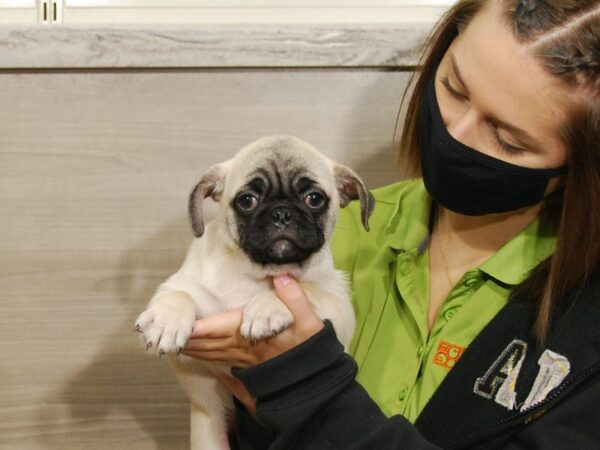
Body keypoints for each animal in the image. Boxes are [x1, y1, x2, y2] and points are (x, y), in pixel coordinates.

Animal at [134, 135, 372, 448]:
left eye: (314, 199)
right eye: (247, 200)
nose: (282, 213)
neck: (256, 274)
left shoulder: (339, 307)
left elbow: (304, 286)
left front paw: (266, 308)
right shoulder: (183, 304)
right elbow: (179, 294)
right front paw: (166, 321)